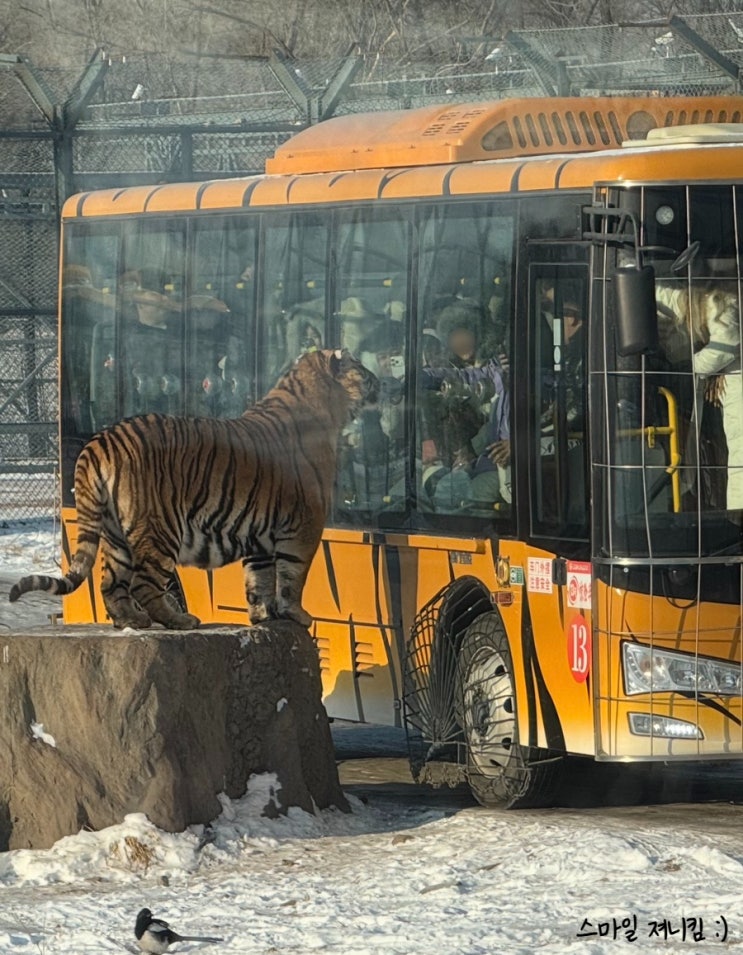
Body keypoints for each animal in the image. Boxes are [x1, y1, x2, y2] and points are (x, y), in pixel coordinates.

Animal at [10, 349, 378, 631]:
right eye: (361, 368)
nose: (381, 381)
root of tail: (103, 439)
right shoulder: (304, 526)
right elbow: (292, 576)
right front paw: (296, 615)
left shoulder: (260, 534)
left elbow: (259, 580)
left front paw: (263, 618)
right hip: (160, 530)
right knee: (145, 584)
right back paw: (179, 621)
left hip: (115, 535)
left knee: (111, 584)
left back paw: (132, 622)